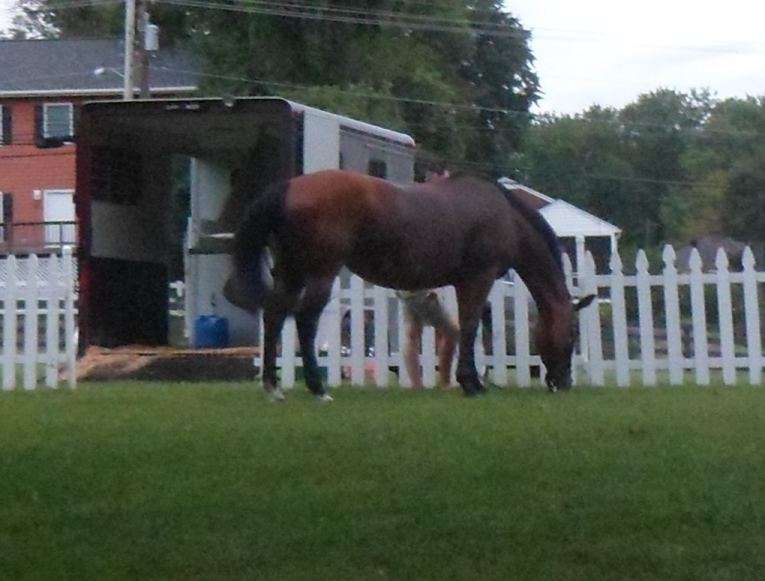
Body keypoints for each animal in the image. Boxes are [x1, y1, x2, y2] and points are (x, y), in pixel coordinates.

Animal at [223, 169, 595, 401]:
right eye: (573, 334)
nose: (563, 383)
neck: (505, 214)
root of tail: (288, 187)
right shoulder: (478, 278)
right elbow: (471, 327)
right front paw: (471, 383)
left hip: (291, 273)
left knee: (274, 315)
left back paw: (273, 387)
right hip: (319, 274)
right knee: (305, 320)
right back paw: (318, 388)